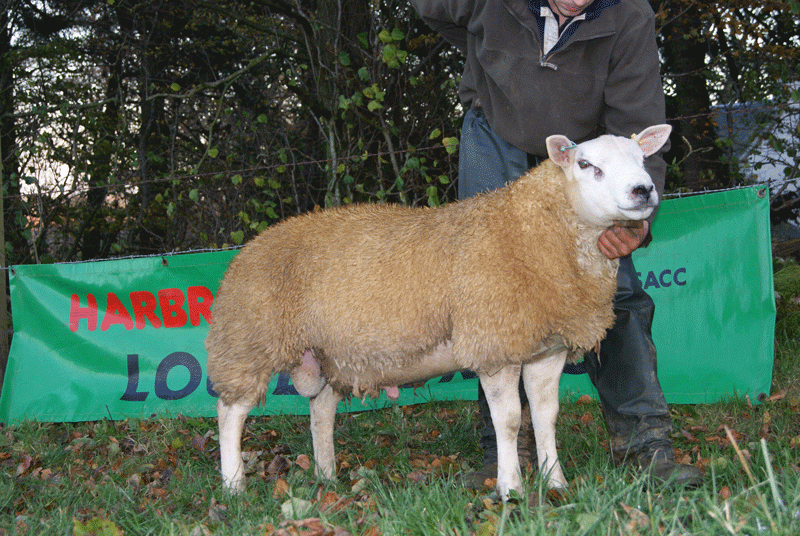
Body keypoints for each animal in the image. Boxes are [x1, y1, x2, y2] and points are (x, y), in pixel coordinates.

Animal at [203, 124, 672, 498]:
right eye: (587, 164)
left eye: (641, 159)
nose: (643, 191)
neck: (533, 231)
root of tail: (247, 248)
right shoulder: (494, 342)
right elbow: (509, 421)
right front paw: (512, 489)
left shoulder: (547, 347)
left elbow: (545, 417)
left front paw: (555, 483)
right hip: (248, 340)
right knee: (230, 414)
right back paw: (234, 486)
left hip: (329, 353)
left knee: (320, 413)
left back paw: (326, 476)